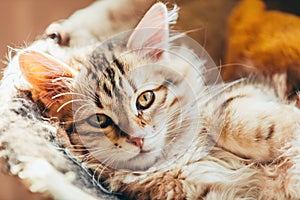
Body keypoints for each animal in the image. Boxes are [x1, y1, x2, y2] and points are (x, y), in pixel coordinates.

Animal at [15, 1, 300, 200]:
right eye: (100, 120)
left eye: (145, 99)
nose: (137, 139)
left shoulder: (249, 87)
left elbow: (226, 115)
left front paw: (289, 132)